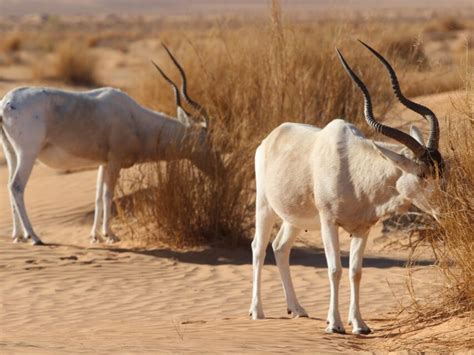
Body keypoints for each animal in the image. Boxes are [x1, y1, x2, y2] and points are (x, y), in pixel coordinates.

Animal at [0, 43, 218, 245]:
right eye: (205, 140)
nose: (219, 171)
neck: (134, 119)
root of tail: (6, 103)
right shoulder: (115, 161)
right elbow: (107, 194)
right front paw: (110, 235)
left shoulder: (103, 163)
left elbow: (97, 197)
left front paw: (95, 236)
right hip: (28, 154)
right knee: (16, 186)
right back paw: (34, 237)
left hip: (12, 154)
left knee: (10, 186)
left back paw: (18, 236)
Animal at [248, 40, 444, 336]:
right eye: (422, 174)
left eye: (443, 169)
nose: (446, 210)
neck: (356, 170)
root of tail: (271, 138)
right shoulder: (329, 222)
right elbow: (335, 270)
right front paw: (335, 324)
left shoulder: (362, 228)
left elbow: (355, 272)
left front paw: (360, 325)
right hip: (265, 207)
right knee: (258, 247)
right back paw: (257, 311)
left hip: (294, 218)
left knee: (280, 247)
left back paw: (298, 309)